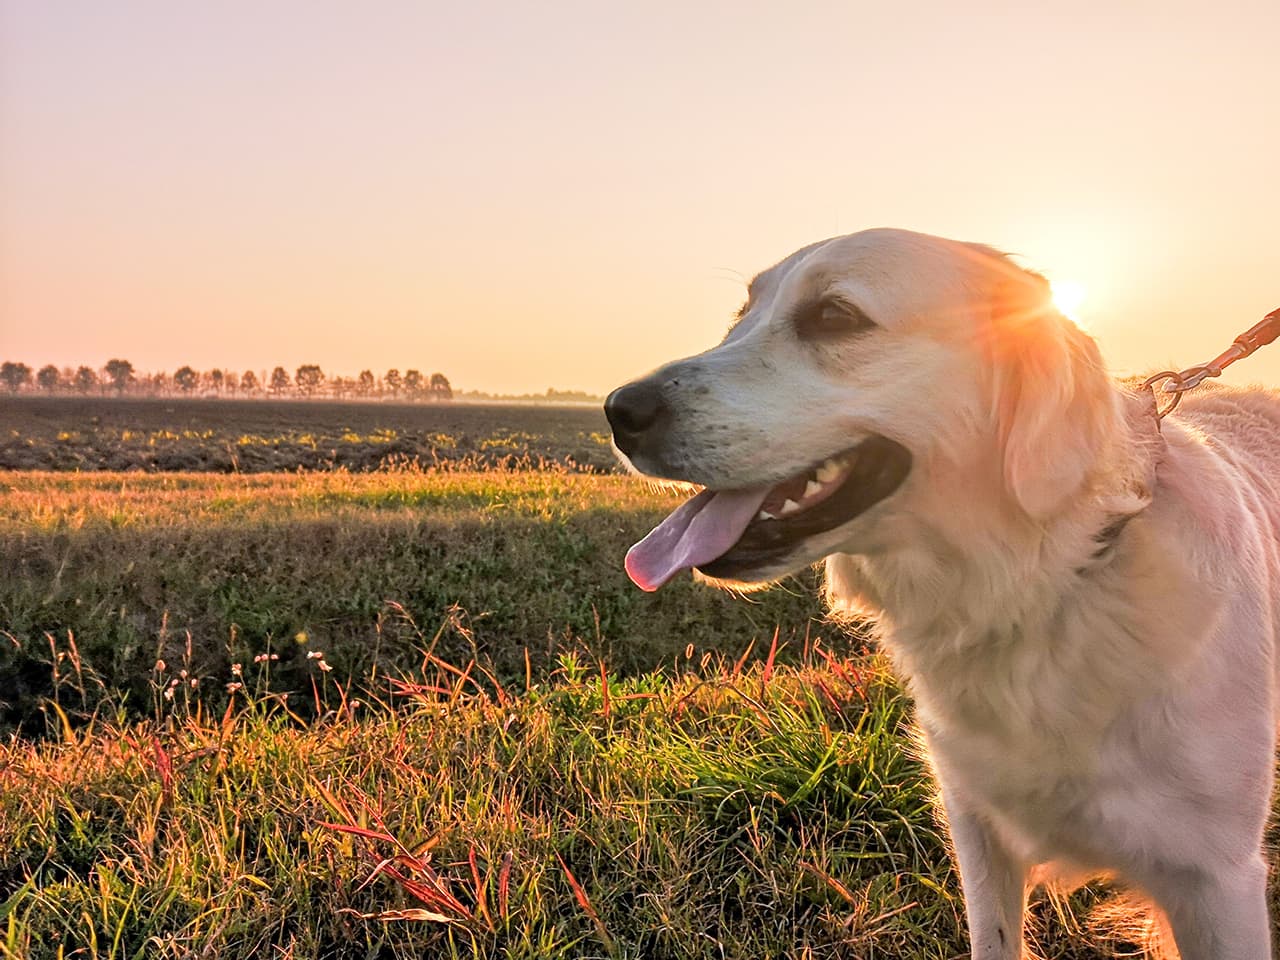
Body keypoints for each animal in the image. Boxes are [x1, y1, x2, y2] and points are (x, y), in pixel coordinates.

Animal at [606, 229, 1280, 957]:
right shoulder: (978, 828)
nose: (619, 410)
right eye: (742, 315)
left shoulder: (1218, 877)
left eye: (835, 316)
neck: (1047, 587)